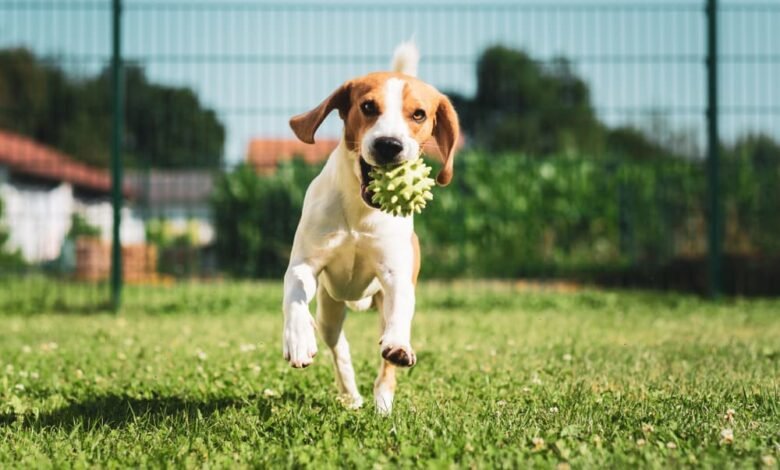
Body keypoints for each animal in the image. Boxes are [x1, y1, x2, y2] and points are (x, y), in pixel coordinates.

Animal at [284, 42, 460, 414]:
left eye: (419, 114)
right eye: (368, 107)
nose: (389, 145)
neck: (360, 214)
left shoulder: (397, 274)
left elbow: (398, 317)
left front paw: (398, 347)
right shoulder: (305, 264)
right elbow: (294, 293)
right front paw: (298, 339)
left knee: (386, 363)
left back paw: (383, 400)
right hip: (330, 308)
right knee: (338, 347)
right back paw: (351, 394)